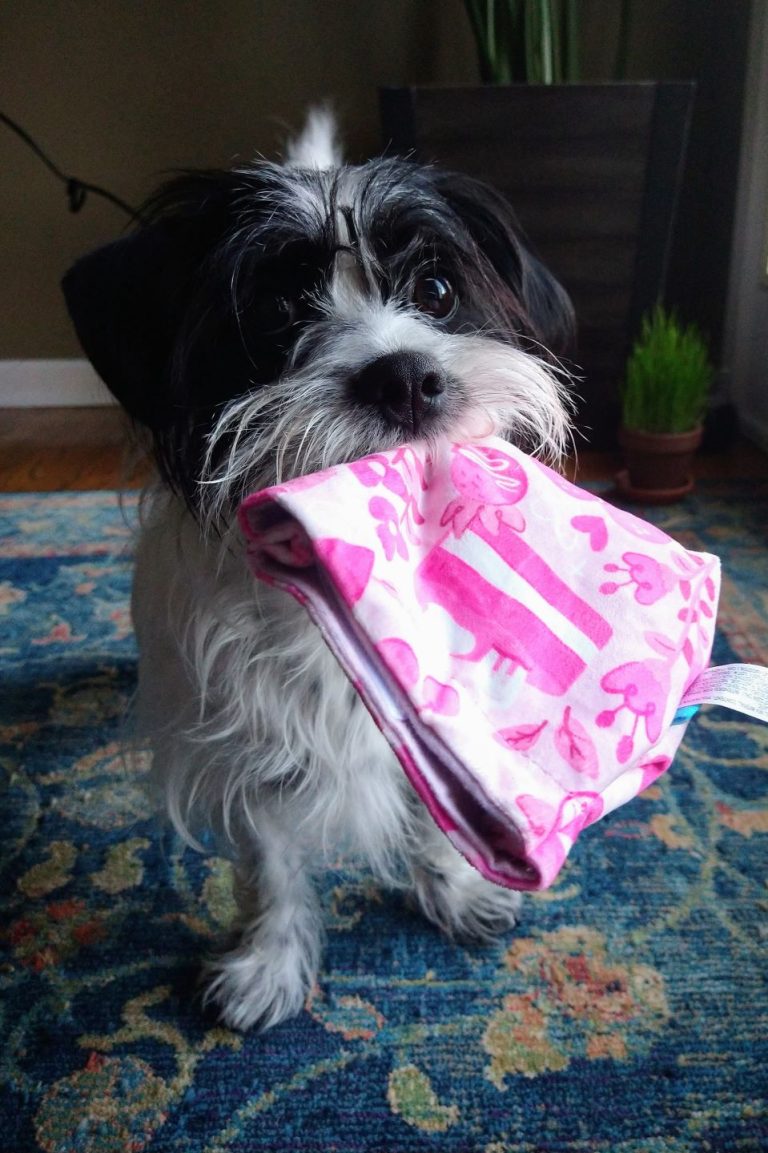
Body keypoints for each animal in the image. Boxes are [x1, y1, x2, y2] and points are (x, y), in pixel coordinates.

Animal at [62, 110, 571, 1028]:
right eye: (275, 308)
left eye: (436, 291)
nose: (406, 377)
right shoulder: (245, 737)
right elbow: (267, 862)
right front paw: (268, 963)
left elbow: (436, 811)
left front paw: (452, 888)